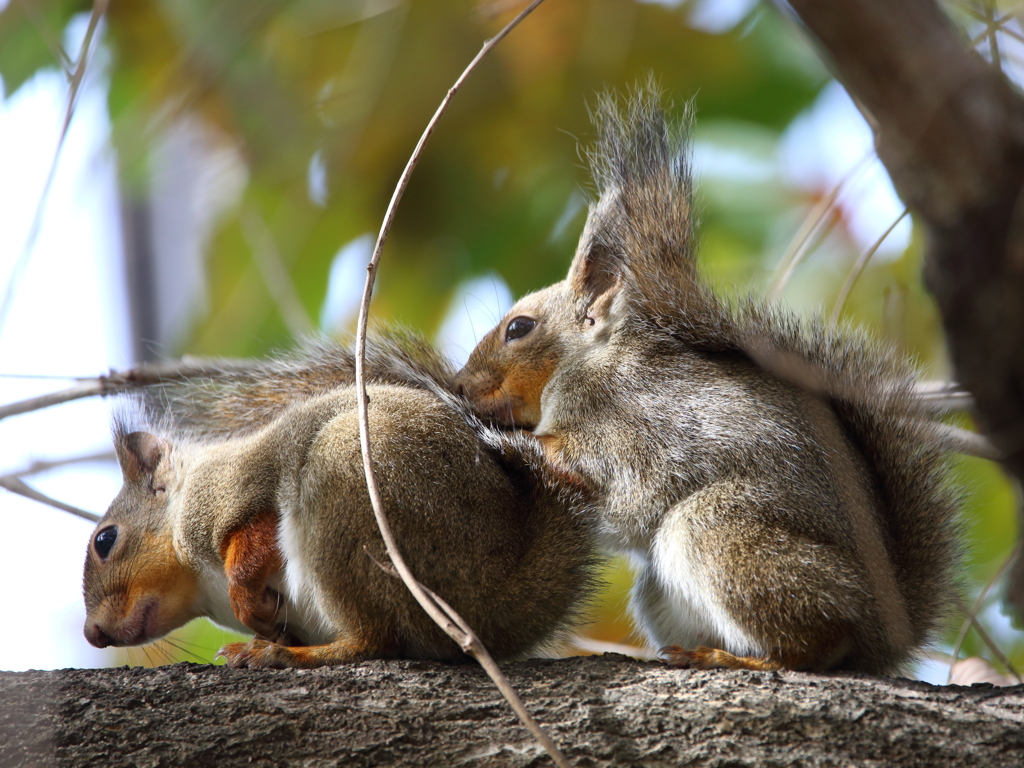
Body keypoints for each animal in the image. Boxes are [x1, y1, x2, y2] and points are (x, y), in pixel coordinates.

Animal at [83, 335, 598, 667]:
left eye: (105, 540)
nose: (93, 634)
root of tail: (503, 598)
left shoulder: (234, 491)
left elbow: (254, 539)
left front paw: (247, 601)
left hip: (347, 494)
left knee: (376, 641)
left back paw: (291, 656)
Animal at [452, 83, 962, 671]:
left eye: (519, 328)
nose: (460, 385)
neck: (590, 362)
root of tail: (887, 630)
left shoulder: (633, 420)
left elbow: (614, 476)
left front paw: (514, 440)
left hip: (719, 530)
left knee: (817, 643)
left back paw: (743, 659)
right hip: (661, 590)